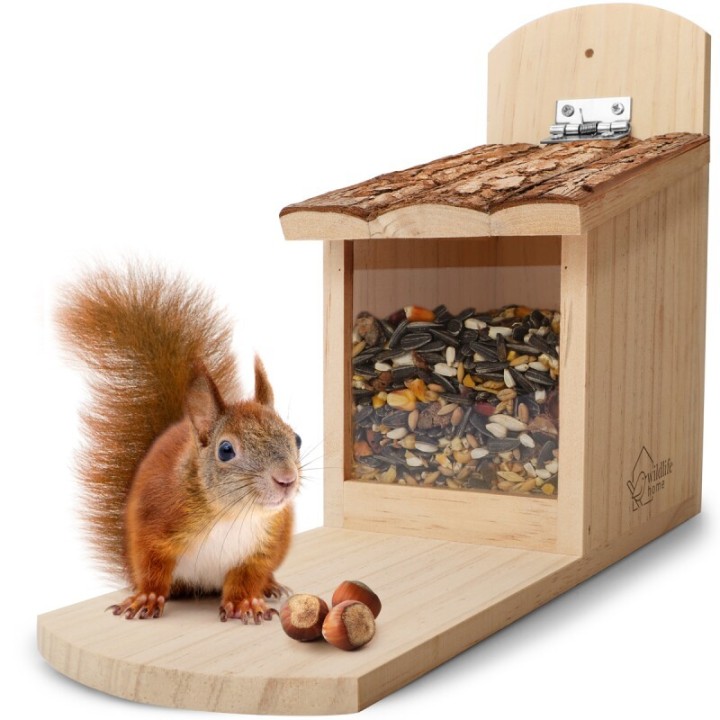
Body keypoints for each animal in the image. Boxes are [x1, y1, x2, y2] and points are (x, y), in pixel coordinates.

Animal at [56, 264, 301, 623]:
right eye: (225, 450)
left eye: (296, 437)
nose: (286, 480)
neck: (230, 513)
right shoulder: (154, 520)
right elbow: (152, 565)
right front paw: (145, 599)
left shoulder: (264, 545)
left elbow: (249, 575)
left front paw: (245, 603)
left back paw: (270, 586)